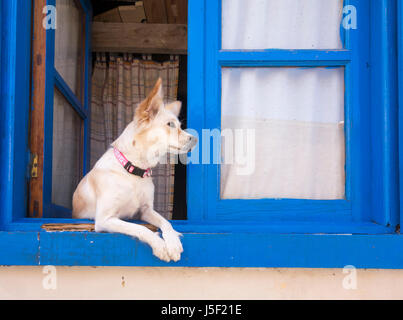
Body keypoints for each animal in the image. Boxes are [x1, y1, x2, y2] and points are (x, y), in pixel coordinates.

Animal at [74, 78, 199, 262]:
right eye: (170, 124)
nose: (195, 139)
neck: (133, 171)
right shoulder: (105, 219)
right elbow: (140, 228)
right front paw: (160, 245)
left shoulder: (146, 211)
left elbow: (166, 222)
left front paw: (173, 242)